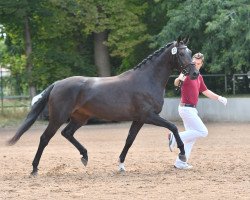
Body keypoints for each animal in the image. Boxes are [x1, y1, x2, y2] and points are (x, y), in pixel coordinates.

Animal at [7, 38, 199, 175]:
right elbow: (173, 127)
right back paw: (34, 169)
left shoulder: (138, 119)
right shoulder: (149, 116)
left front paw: (121, 165)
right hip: (58, 118)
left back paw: (84, 156)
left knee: (67, 133)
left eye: (190, 52)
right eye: (181, 54)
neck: (147, 80)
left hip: (80, 118)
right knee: (45, 138)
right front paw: (182, 153)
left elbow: (129, 140)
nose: (195, 73)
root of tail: (57, 84)